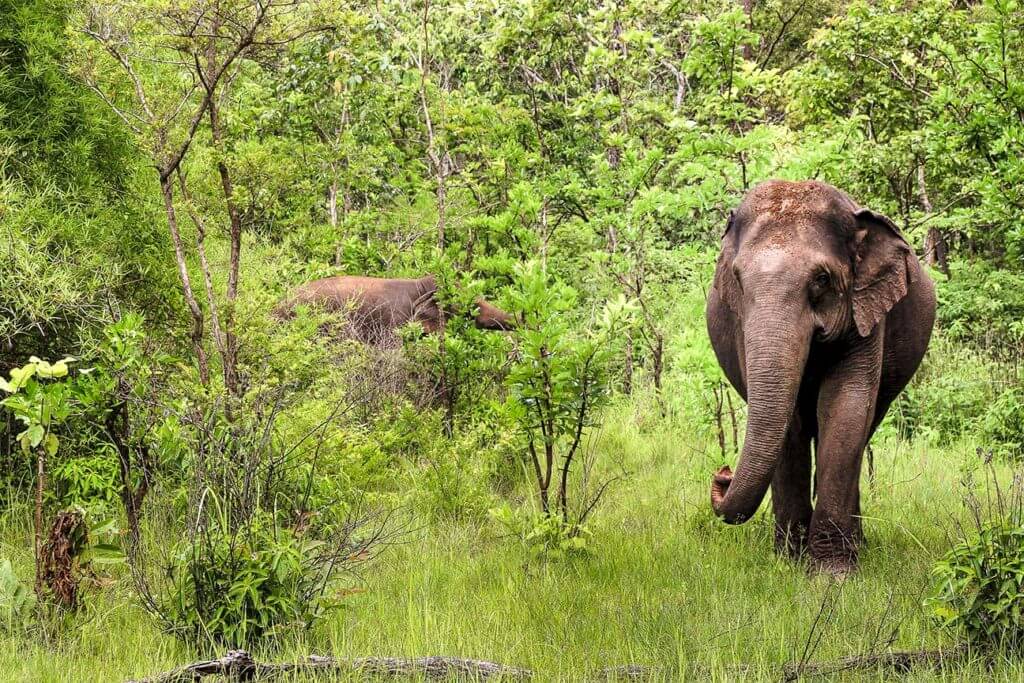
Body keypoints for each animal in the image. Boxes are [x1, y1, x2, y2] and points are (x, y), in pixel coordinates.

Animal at [704, 181, 937, 577]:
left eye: (822, 279)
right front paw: (789, 564)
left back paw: (858, 546)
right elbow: (790, 423)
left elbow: (845, 406)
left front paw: (832, 576)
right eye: (737, 279)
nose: (722, 473)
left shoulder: (867, 313)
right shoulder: (740, 326)